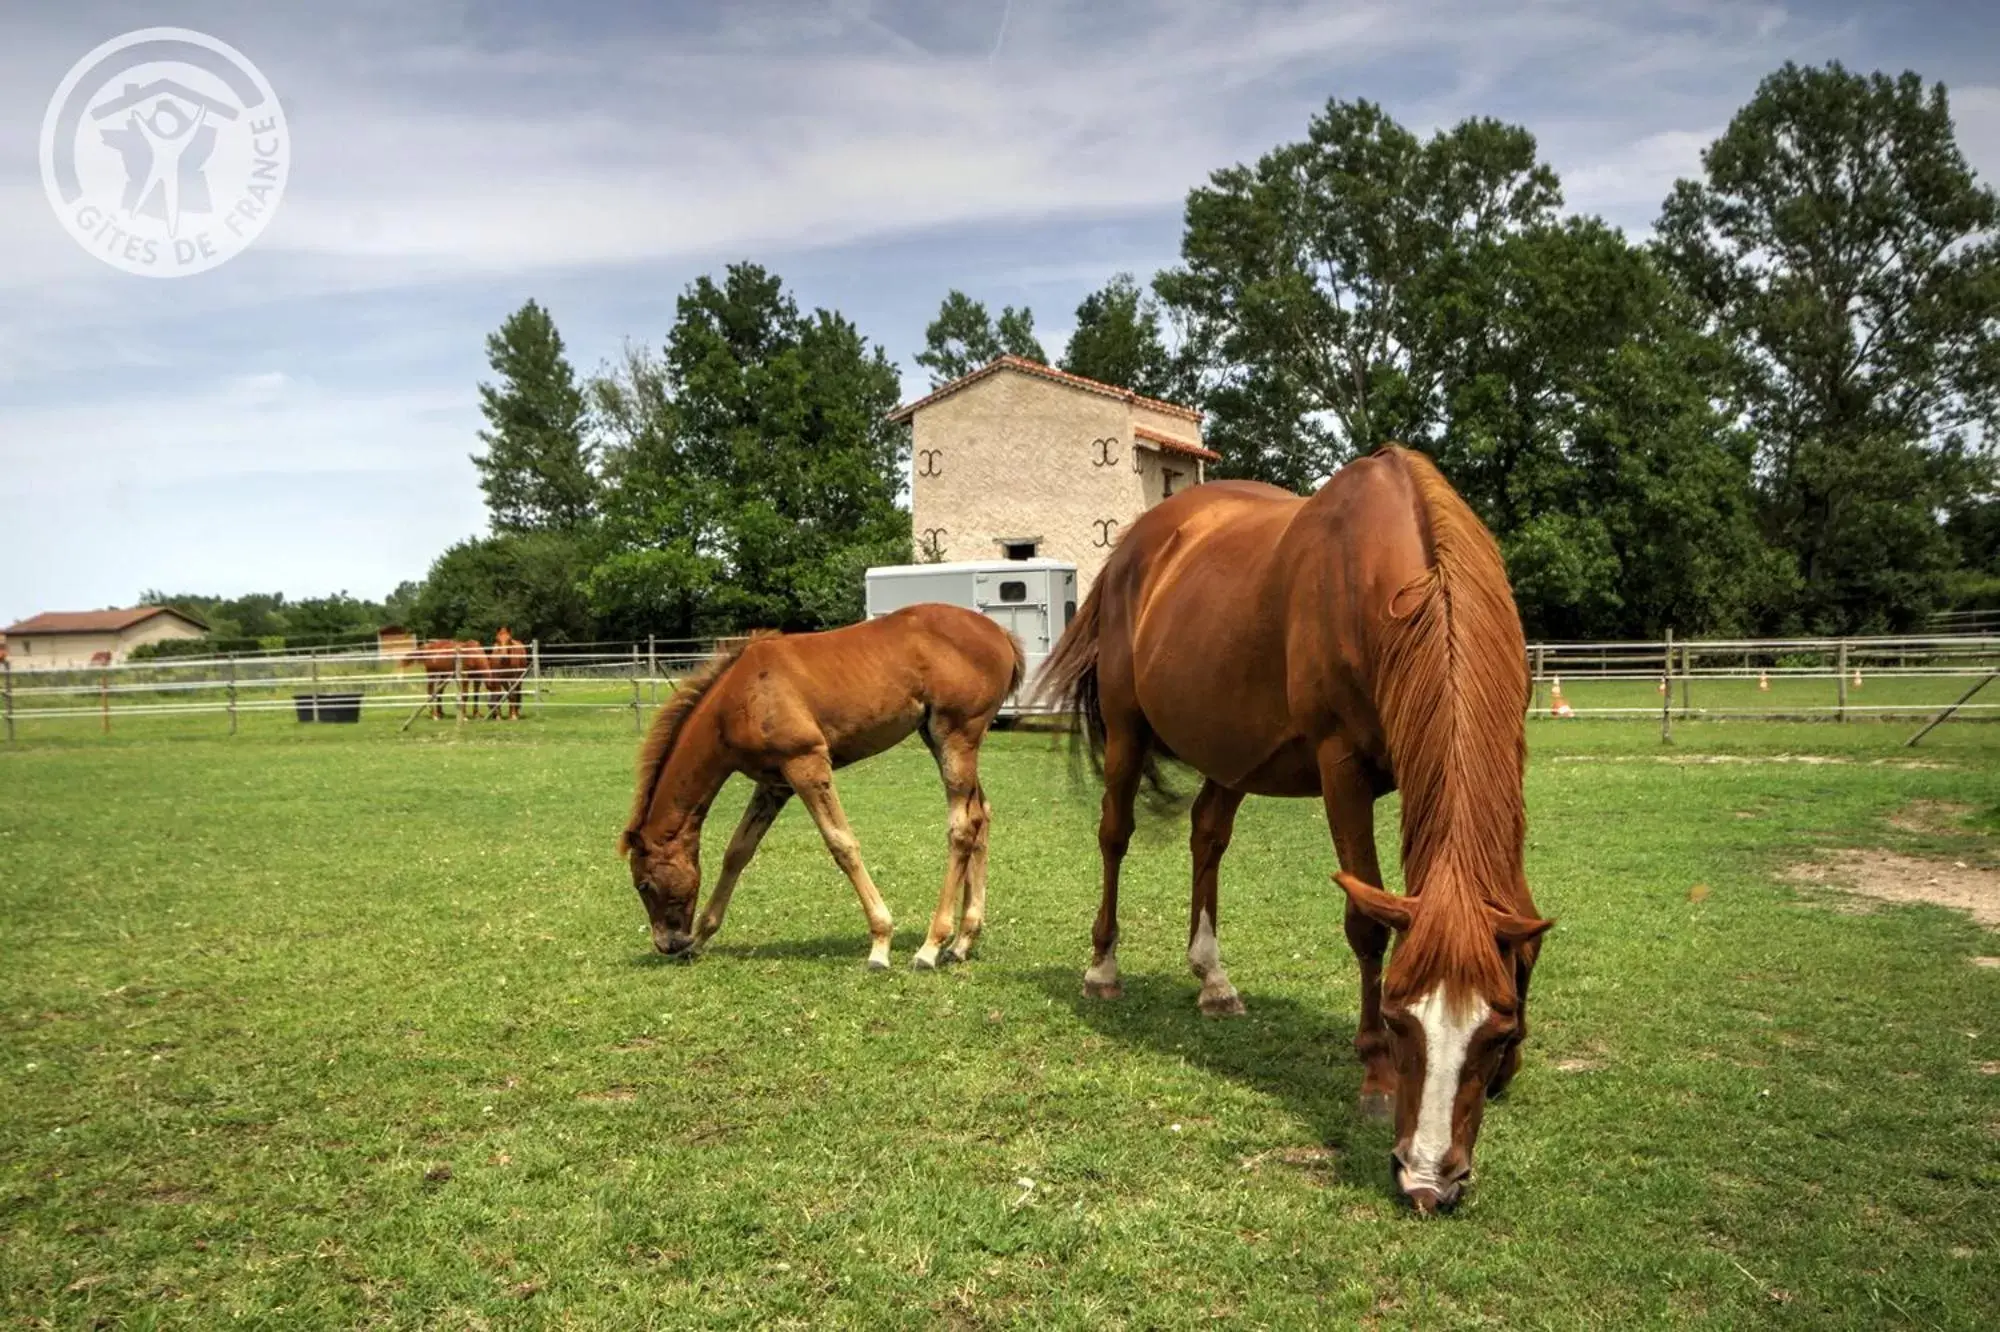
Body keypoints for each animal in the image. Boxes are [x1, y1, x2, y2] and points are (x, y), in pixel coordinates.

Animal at [620, 600, 1032, 964]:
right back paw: (961, 943)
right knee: (980, 817)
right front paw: (702, 937)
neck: (736, 699)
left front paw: (880, 943)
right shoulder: (774, 784)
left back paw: (930, 947)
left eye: (643, 884)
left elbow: (841, 844)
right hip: (938, 738)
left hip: (955, 735)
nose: (668, 944)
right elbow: (738, 850)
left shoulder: (807, 762)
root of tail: (1000, 634)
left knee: (961, 828)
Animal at [1040, 446, 1552, 1216]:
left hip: (1231, 750)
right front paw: (1374, 1078)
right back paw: (1103, 968)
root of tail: (1136, 543)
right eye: (1399, 1020)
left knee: (1207, 836)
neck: (1398, 577)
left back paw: (1214, 980)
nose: (1428, 1181)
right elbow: (1366, 925)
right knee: (1115, 834)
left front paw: (1509, 1071)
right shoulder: (1342, 768)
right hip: (1129, 731)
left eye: (1495, 1032)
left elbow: (1520, 926)